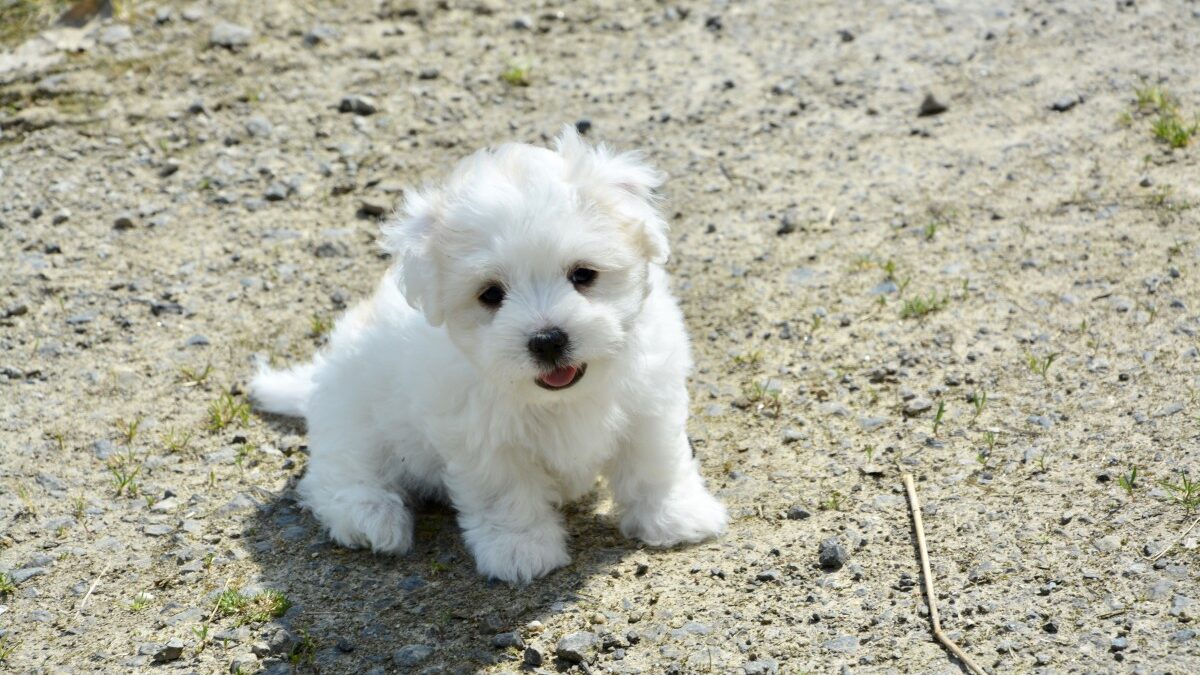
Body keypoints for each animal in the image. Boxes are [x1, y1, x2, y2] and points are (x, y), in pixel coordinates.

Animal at [248, 127, 724, 583]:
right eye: (491, 294)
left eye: (584, 274)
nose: (548, 339)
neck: (558, 398)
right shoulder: (480, 438)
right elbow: (505, 494)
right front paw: (521, 550)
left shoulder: (648, 401)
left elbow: (654, 463)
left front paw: (675, 516)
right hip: (353, 418)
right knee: (338, 474)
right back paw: (370, 516)